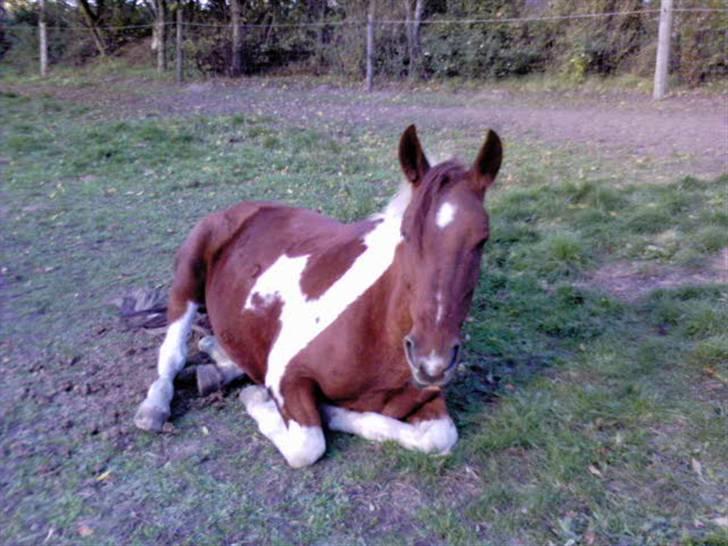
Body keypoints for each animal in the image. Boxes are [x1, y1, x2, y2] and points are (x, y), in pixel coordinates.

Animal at [134, 125, 500, 466]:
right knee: (172, 354)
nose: (431, 362)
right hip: (188, 277)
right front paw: (264, 401)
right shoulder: (286, 377)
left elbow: (439, 437)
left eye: (482, 239)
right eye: (406, 232)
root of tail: (243, 208)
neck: (374, 328)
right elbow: (307, 446)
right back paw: (154, 407)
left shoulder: (425, 398)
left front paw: (334, 412)